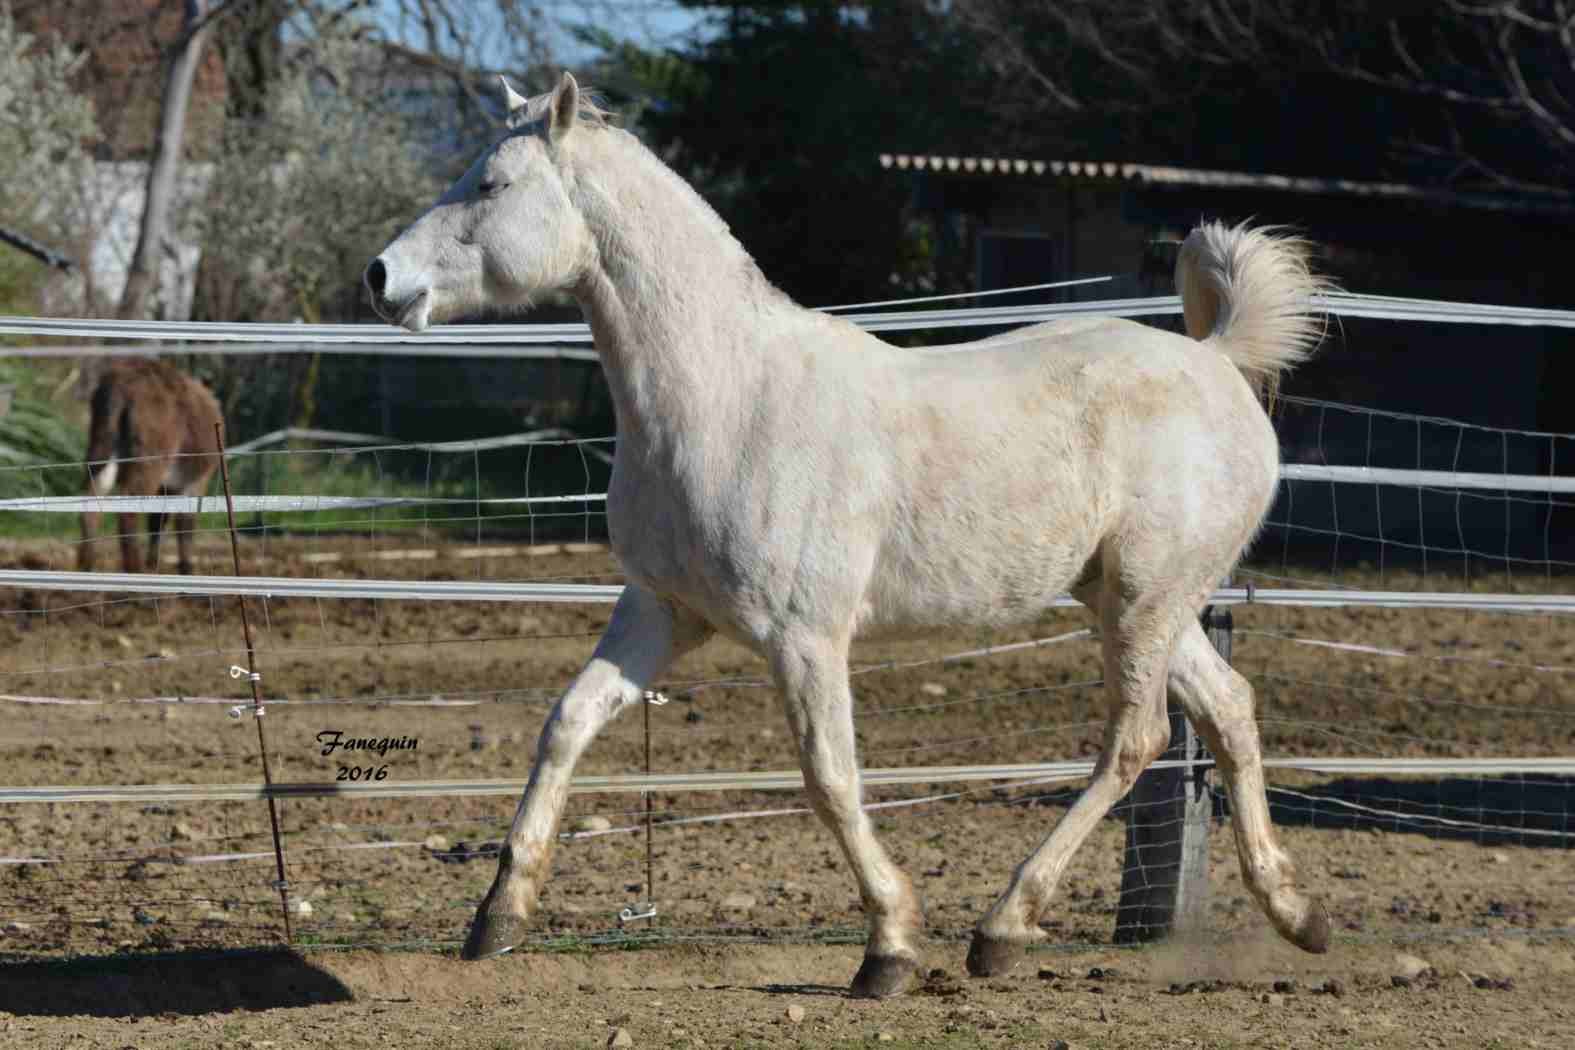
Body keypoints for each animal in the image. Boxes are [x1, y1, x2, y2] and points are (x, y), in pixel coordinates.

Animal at [365, 75, 1329, 1001]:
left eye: (491, 184)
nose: (380, 277)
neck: (724, 399)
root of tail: (1215, 361)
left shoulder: (805, 638)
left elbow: (829, 779)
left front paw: (889, 950)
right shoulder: (662, 612)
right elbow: (566, 724)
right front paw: (497, 917)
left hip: (1142, 601)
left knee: (1137, 739)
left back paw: (1001, 930)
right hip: (1137, 603)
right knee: (1228, 709)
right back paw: (1295, 913)